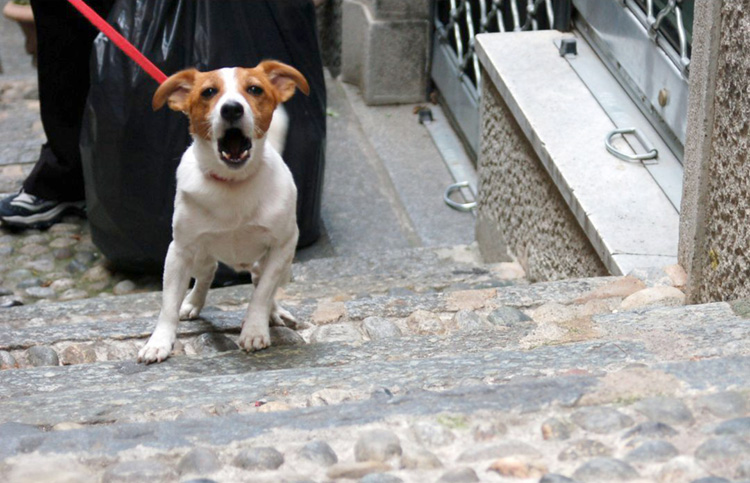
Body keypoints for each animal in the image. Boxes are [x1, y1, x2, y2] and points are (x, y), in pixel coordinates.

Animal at [137, 60, 308, 364]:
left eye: (255, 89)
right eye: (208, 92)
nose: (231, 108)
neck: (233, 184)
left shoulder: (282, 246)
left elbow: (262, 294)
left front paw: (255, 329)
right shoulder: (179, 252)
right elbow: (168, 304)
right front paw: (159, 342)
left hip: (280, 263)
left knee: (261, 282)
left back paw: (274, 312)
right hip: (199, 255)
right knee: (207, 273)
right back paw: (192, 303)